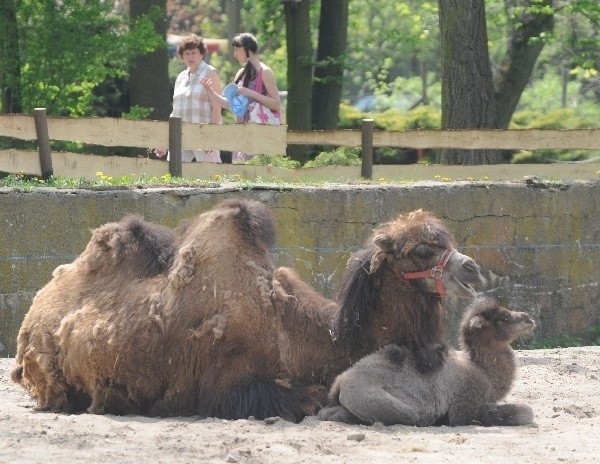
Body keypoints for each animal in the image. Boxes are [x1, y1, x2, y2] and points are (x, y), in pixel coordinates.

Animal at [11, 199, 486, 420]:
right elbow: (306, 397)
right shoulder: (231, 387)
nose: (473, 269)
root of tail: (33, 314)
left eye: (446, 240)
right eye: (422, 250)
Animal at [318, 298, 536, 428]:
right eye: (504, 317)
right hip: (383, 403)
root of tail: (341, 383)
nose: (529, 318)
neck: (483, 372)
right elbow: (525, 411)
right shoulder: (466, 404)